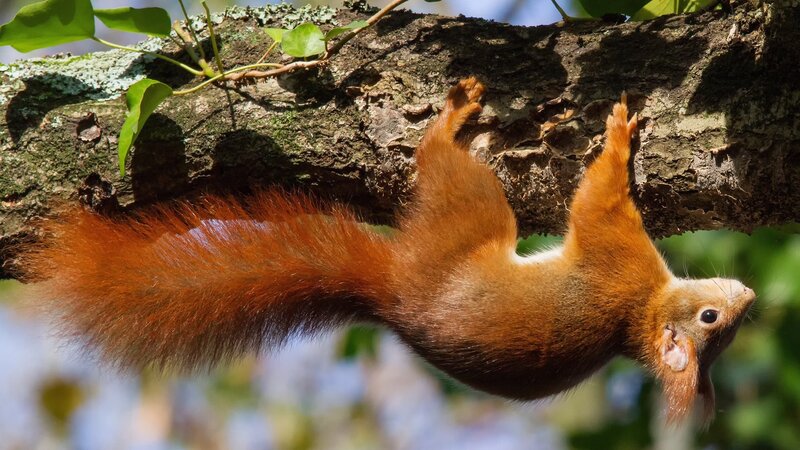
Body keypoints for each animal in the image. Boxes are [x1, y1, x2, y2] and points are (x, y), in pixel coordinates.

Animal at [24, 77, 755, 424]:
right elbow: (600, 199)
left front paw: (620, 137)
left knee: (443, 167)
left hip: (470, 211)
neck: (642, 307)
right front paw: (624, 133)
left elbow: (599, 200)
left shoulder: (614, 252)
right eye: (713, 321)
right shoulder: (619, 258)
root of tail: (392, 292)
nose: (747, 294)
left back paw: (448, 121)